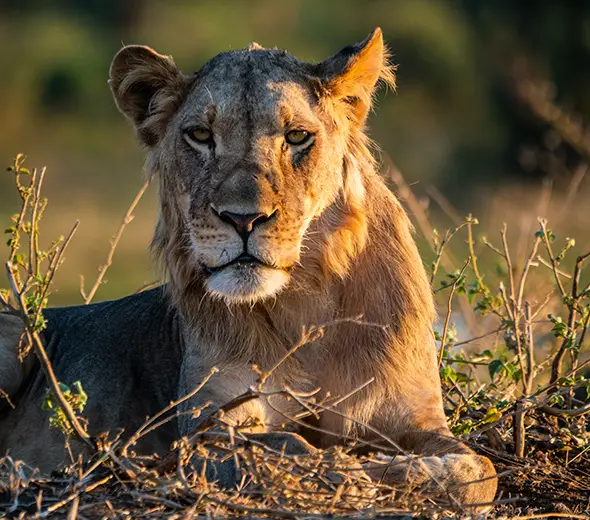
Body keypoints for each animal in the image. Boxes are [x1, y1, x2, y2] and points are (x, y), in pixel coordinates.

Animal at [0, 27, 498, 504]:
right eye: (201, 135)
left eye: (296, 137)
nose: (243, 219)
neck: (304, 304)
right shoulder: (205, 429)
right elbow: (278, 446)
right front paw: (349, 475)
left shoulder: (411, 414)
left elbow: (480, 471)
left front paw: (399, 471)